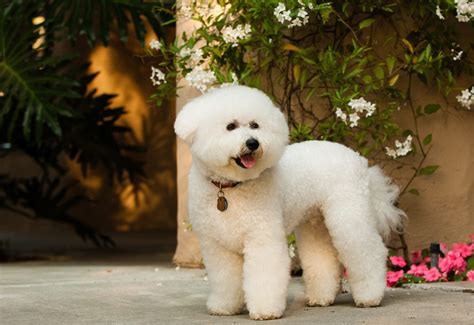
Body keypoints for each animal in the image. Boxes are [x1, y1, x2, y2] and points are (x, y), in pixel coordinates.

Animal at [176, 84, 406, 318]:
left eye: (255, 125)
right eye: (230, 126)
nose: (253, 143)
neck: (230, 188)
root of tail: (359, 160)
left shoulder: (262, 237)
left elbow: (264, 274)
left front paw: (265, 310)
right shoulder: (217, 246)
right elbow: (224, 277)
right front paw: (224, 306)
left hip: (349, 214)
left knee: (368, 251)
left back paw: (369, 297)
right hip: (315, 223)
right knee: (322, 257)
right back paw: (321, 297)